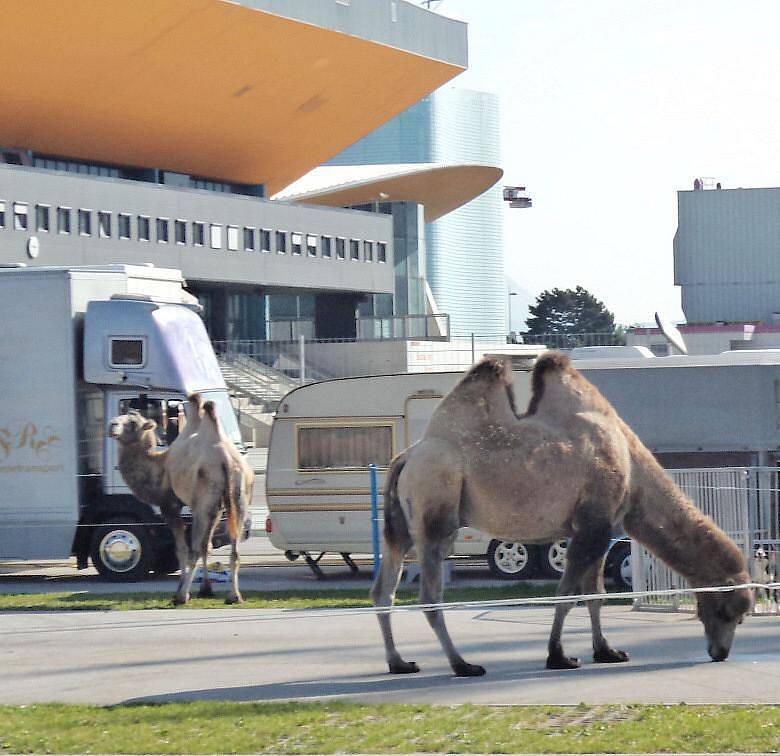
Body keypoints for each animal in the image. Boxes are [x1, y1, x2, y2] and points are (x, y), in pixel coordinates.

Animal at [166, 396, 254, 604]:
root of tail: (227, 462)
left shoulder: (186, 503)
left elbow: (195, 546)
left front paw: (201, 589)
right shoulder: (219, 508)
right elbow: (208, 545)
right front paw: (206, 588)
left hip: (203, 505)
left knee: (195, 549)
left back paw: (181, 596)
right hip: (239, 501)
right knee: (234, 549)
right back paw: (234, 596)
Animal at [374, 352, 756, 676]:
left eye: (739, 617)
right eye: (728, 611)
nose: (720, 652)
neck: (632, 470)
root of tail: (405, 457)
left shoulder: (599, 528)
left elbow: (595, 594)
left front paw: (607, 651)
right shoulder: (593, 524)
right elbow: (569, 593)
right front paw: (558, 656)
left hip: (402, 526)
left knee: (383, 589)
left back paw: (399, 662)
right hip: (436, 509)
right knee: (429, 595)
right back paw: (463, 665)